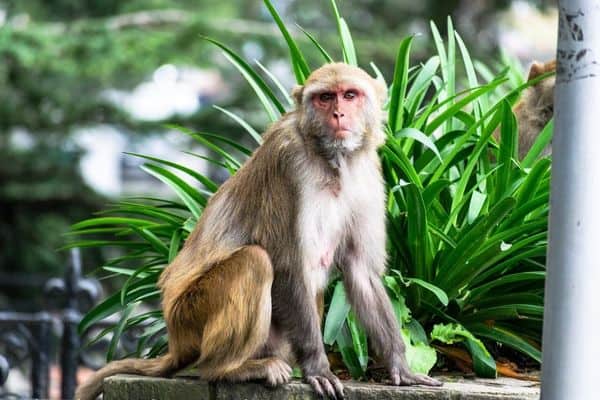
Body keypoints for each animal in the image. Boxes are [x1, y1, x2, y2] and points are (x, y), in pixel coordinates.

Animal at [75, 63, 440, 400]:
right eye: (325, 98)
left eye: (350, 95)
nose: (338, 113)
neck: (330, 159)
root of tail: (177, 342)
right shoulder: (287, 161)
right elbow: (287, 265)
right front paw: (318, 367)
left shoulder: (367, 171)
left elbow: (361, 271)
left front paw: (400, 365)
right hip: (189, 316)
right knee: (255, 262)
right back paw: (227, 370)